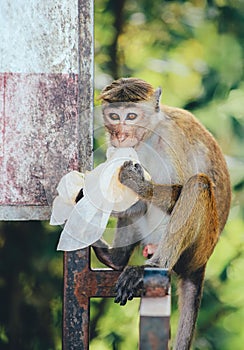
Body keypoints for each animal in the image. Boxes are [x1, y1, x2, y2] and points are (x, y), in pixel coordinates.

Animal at [85, 78, 231, 348]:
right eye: (114, 116)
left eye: (131, 116)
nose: (120, 135)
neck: (147, 136)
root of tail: (203, 261)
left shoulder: (171, 139)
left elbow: (178, 190)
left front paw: (138, 183)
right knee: (137, 206)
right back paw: (116, 258)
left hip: (196, 248)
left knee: (197, 185)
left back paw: (154, 266)